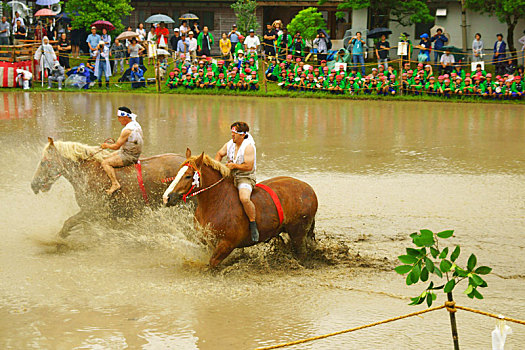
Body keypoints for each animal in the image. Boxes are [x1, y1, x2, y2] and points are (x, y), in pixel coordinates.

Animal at [164, 149, 318, 266]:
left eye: (188, 176)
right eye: (177, 173)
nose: (167, 197)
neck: (217, 201)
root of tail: (309, 189)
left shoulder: (227, 244)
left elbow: (212, 263)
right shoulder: (205, 241)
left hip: (298, 232)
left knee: (302, 253)